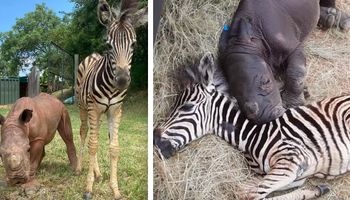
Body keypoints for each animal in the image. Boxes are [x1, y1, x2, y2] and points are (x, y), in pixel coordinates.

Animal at [76, 0, 147, 199]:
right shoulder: (93, 108)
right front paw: (88, 188)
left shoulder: (115, 110)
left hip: (100, 113)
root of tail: (92, 54)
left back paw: (98, 172)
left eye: (134, 45)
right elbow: (93, 145)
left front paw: (115, 189)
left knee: (95, 134)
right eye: (108, 45)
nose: (122, 80)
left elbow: (114, 148)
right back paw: (79, 168)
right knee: (84, 132)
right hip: (83, 107)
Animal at [154, 52, 350, 199]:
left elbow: (247, 193)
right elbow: (253, 189)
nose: (155, 142)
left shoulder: (291, 161)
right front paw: (315, 189)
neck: (252, 135)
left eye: (186, 107)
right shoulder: (294, 173)